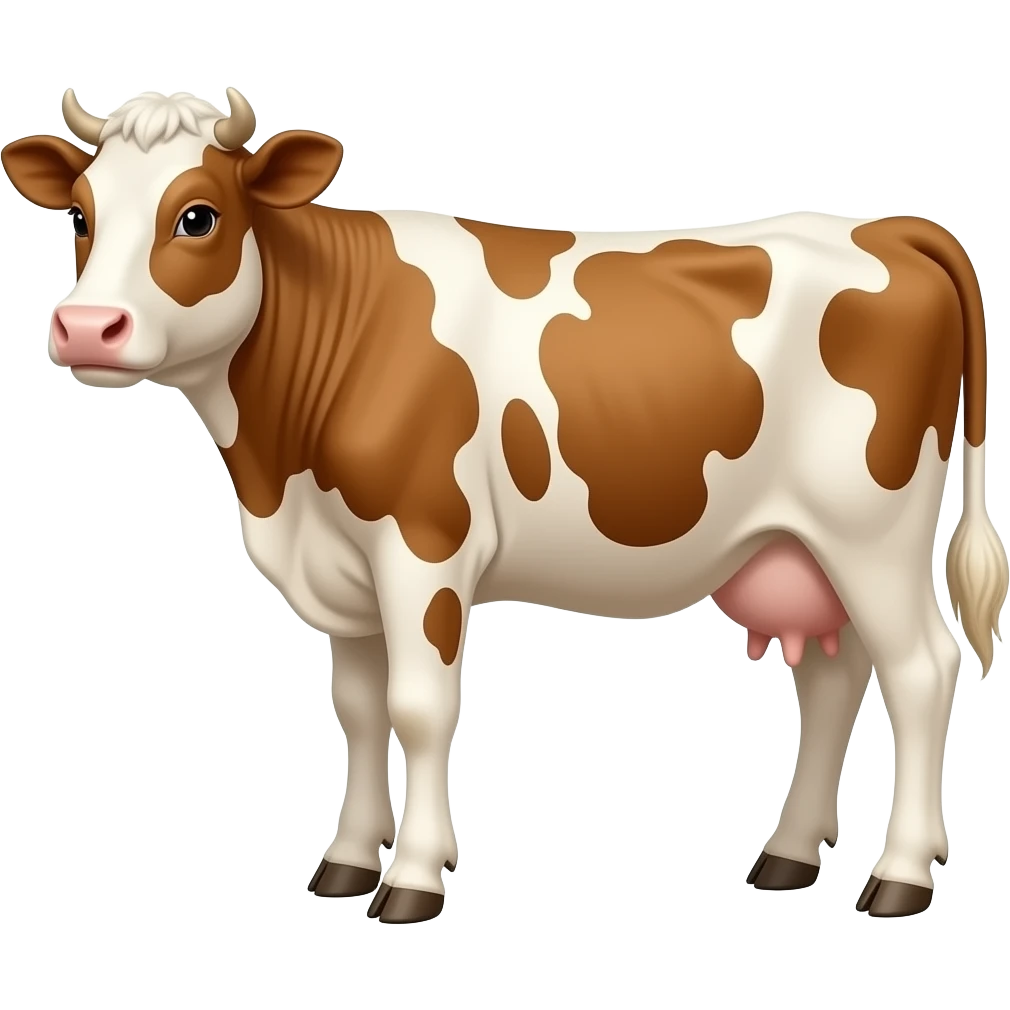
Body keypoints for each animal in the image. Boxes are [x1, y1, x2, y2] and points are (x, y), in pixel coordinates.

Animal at [4, 87, 1005, 924]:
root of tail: (885, 227)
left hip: (871, 530)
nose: (86, 328)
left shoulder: (422, 544)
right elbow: (357, 709)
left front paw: (411, 881)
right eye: (81, 217)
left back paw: (901, 878)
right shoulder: (345, 566)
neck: (277, 472)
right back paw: (789, 855)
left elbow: (418, 706)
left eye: (198, 216)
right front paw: (346, 864)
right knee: (837, 678)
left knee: (921, 669)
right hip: (798, 545)